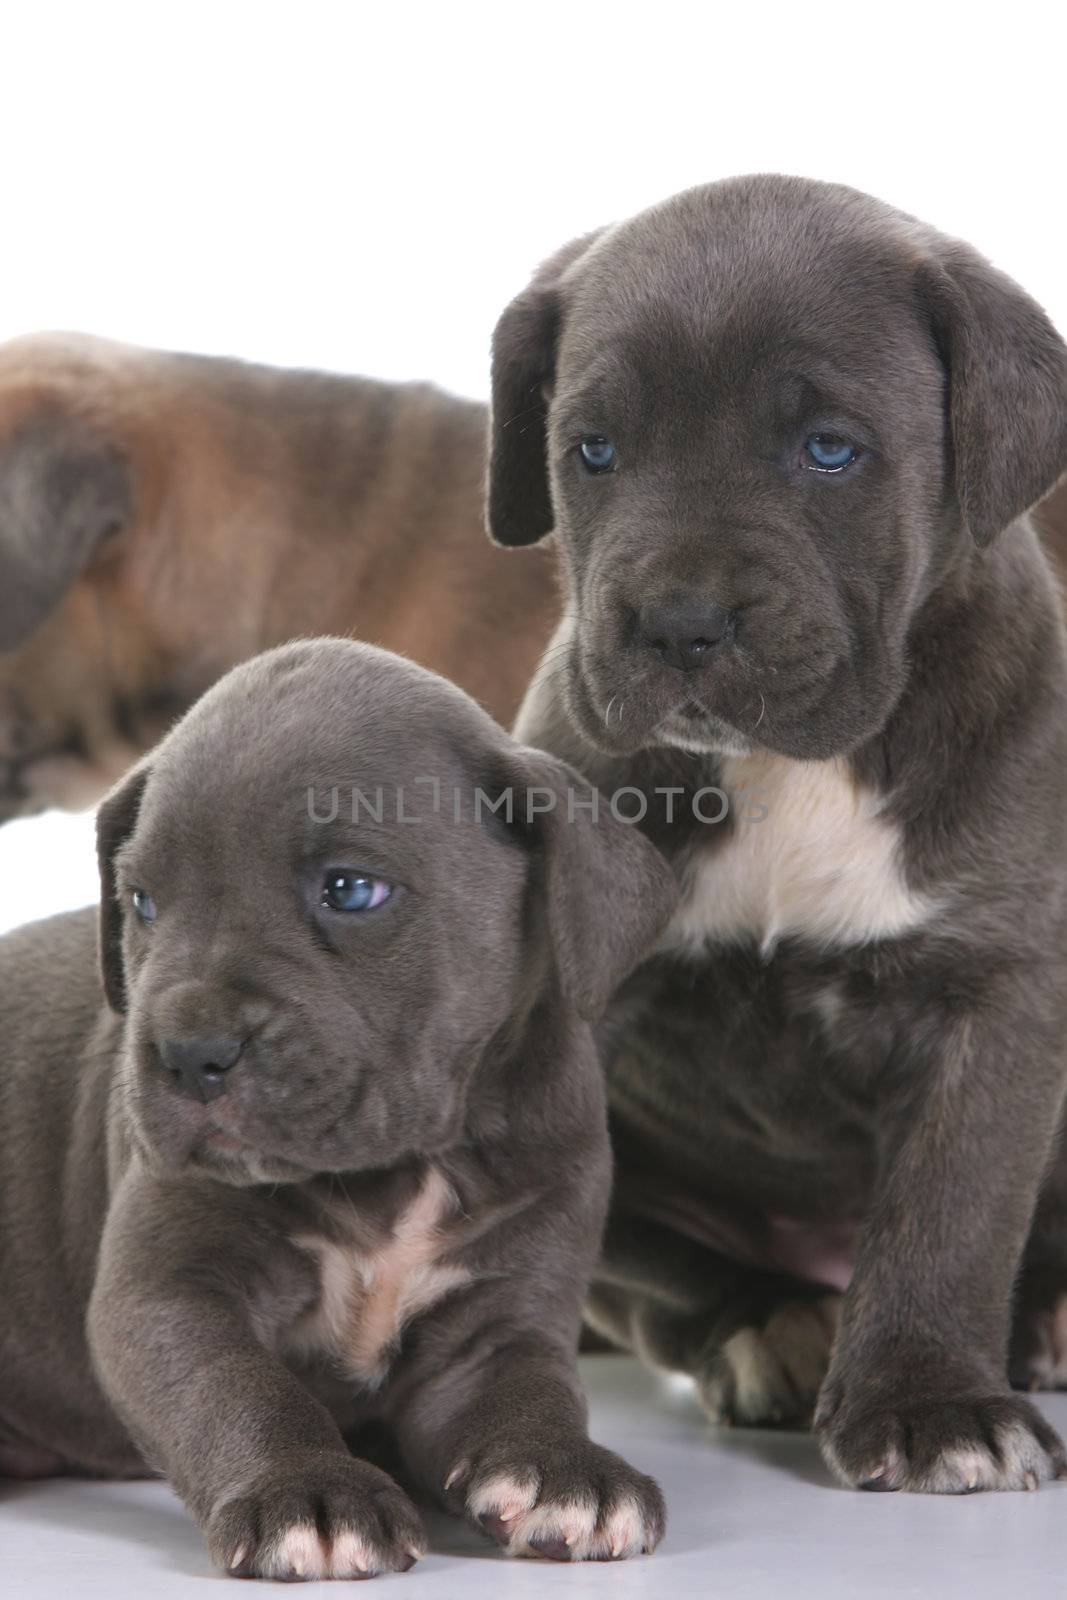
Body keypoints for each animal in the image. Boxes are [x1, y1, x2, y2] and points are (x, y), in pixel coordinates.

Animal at [0, 636, 675, 1574]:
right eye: (140, 902)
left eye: (350, 890)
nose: (190, 1051)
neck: (398, 1169)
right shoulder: (170, 1293)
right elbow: (239, 1389)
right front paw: (308, 1491)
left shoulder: (498, 1320)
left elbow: (532, 1388)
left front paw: (565, 1470)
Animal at [489, 181, 1067, 1491]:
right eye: (592, 450)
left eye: (828, 450)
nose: (677, 621)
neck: (793, 767)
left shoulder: (992, 993)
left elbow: (949, 1209)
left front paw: (928, 1401)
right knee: (670, 1278)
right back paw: (776, 1327)